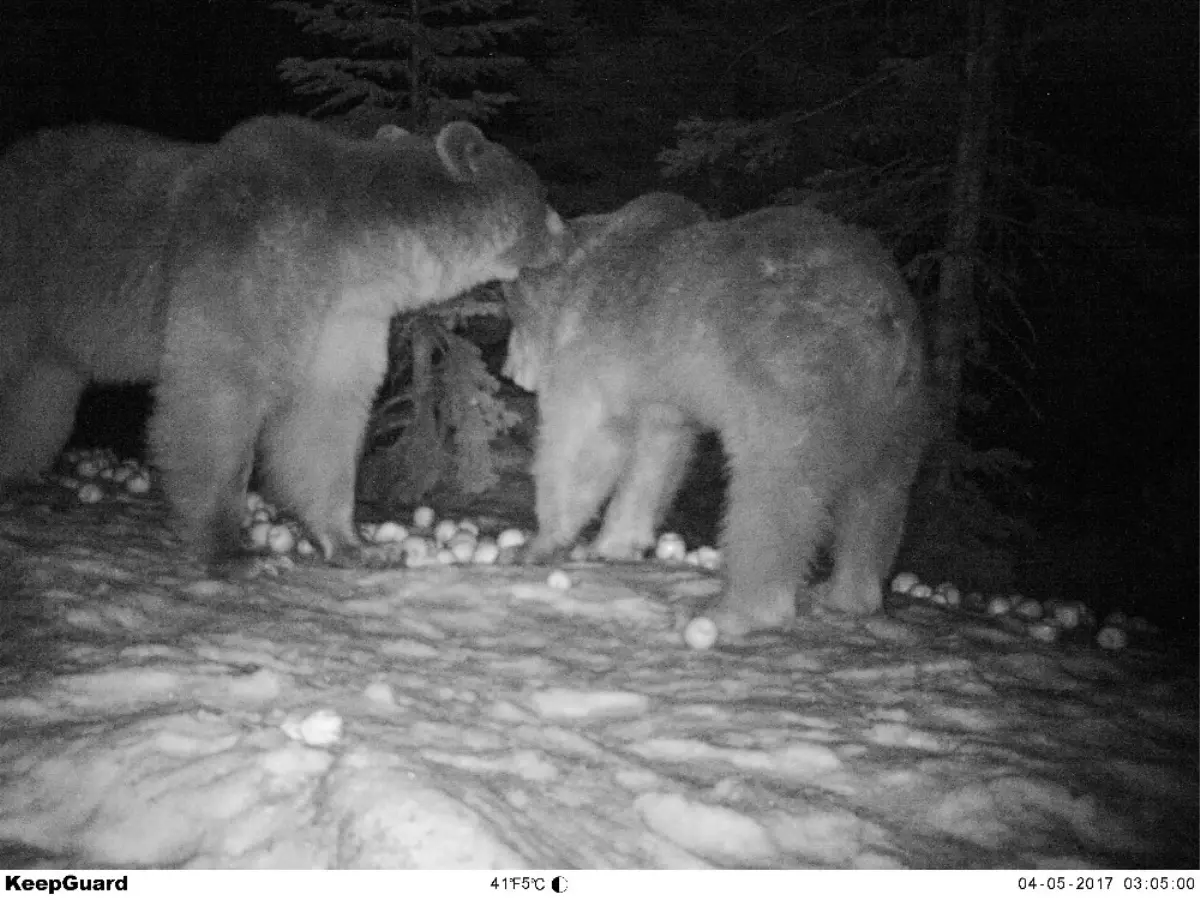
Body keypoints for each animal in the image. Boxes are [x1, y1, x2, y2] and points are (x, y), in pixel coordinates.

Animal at [0, 118, 566, 571]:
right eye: (541, 195)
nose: (567, 235)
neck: (355, 252)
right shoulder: (249, 260)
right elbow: (220, 392)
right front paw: (235, 548)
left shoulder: (342, 317)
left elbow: (325, 419)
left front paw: (358, 545)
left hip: (51, 339)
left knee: (39, 402)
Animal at [504, 192, 926, 643]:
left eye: (511, 310)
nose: (509, 371)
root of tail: (887, 319)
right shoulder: (662, 386)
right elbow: (658, 456)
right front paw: (615, 543)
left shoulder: (596, 345)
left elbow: (583, 440)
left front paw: (538, 542)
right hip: (896, 412)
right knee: (876, 500)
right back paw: (850, 595)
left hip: (794, 379)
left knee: (772, 494)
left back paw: (733, 611)